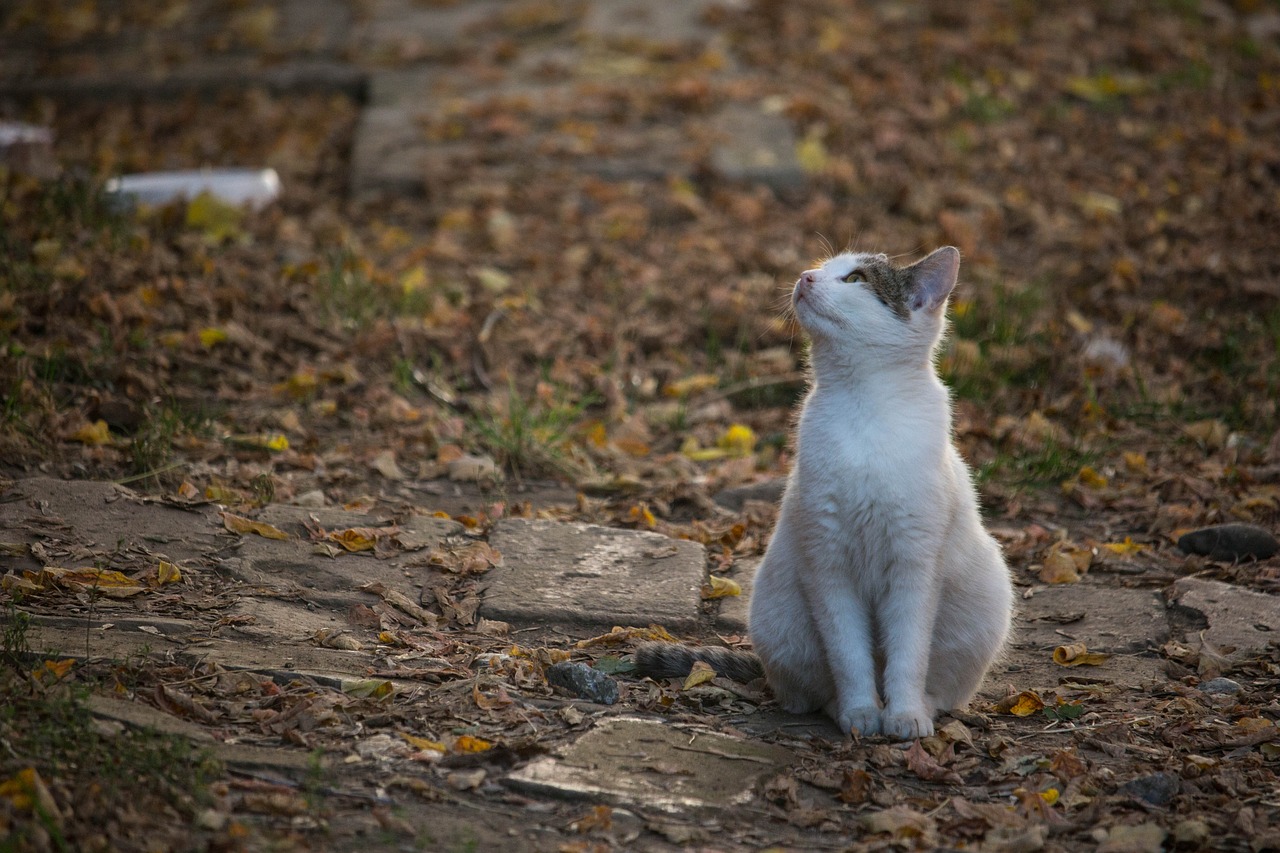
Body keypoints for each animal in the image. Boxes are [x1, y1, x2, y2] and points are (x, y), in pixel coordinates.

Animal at [634, 244, 1013, 737]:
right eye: (823, 267)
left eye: (855, 279)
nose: (805, 277)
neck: (862, 408)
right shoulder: (828, 563)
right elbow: (848, 657)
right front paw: (861, 714)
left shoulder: (914, 566)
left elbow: (908, 655)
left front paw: (904, 716)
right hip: (781, 620)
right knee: (813, 691)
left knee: (944, 692)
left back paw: (924, 709)